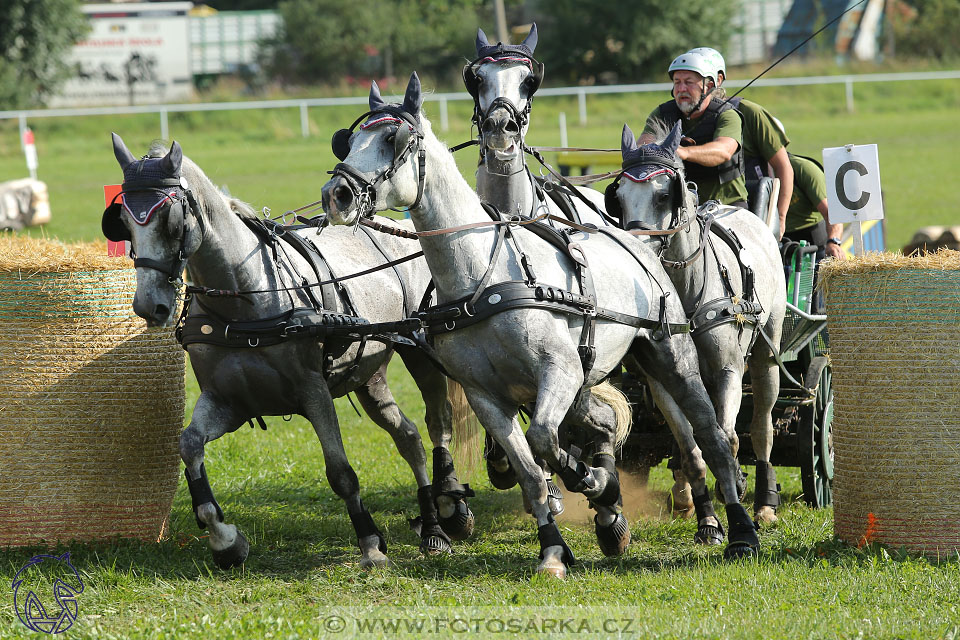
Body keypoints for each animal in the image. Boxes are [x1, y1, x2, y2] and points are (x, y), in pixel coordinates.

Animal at [103, 132, 474, 568]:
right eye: (123, 223)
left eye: (172, 221)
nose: (150, 306)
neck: (246, 297)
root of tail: (396, 224)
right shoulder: (230, 401)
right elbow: (189, 445)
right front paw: (226, 540)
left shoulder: (313, 391)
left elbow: (341, 473)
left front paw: (370, 543)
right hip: (370, 376)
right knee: (409, 437)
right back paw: (430, 520)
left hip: (419, 353)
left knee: (438, 425)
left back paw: (446, 515)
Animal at [322, 72, 756, 576]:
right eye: (348, 141)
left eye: (393, 140)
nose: (337, 195)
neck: (483, 277)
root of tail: (635, 238)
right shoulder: (487, 396)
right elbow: (531, 471)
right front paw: (555, 548)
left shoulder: (558, 371)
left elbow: (544, 439)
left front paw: (598, 484)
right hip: (600, 374)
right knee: (607, 423)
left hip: (671, 357)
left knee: (713, 437)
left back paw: (738, 529)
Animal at [608, 121, 788, 540]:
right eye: (618, 198)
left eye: (663, 195)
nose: (637, 249)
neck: (684, 291)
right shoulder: (660, 383)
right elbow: (691, 451)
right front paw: (707, 519)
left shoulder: (728, 370)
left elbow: (727, 436)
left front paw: (735, 486)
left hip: (765, 356)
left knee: (762, 427)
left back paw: (765, 503)